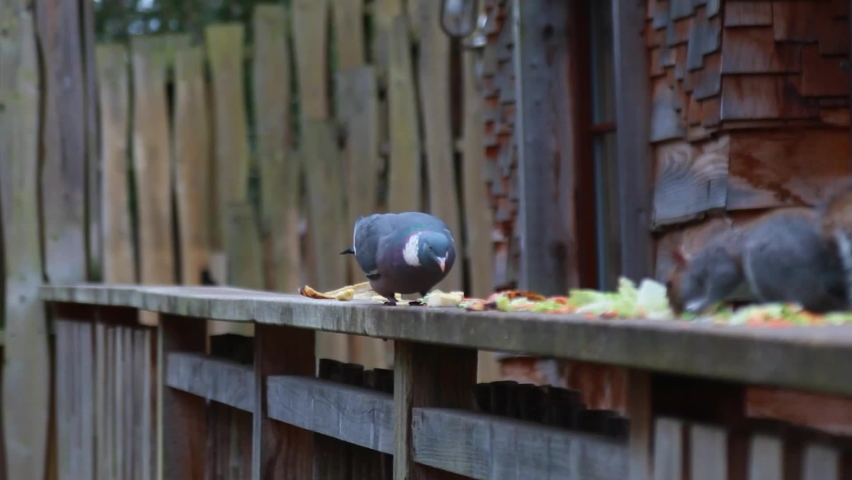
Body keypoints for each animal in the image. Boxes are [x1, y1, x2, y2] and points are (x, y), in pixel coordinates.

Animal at [666, 206, 848, 315]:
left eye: (669, 284)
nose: (674, 312)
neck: (698, 265)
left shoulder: (720, 262)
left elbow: (722, 282)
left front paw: (700, 305)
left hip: (768, 266)